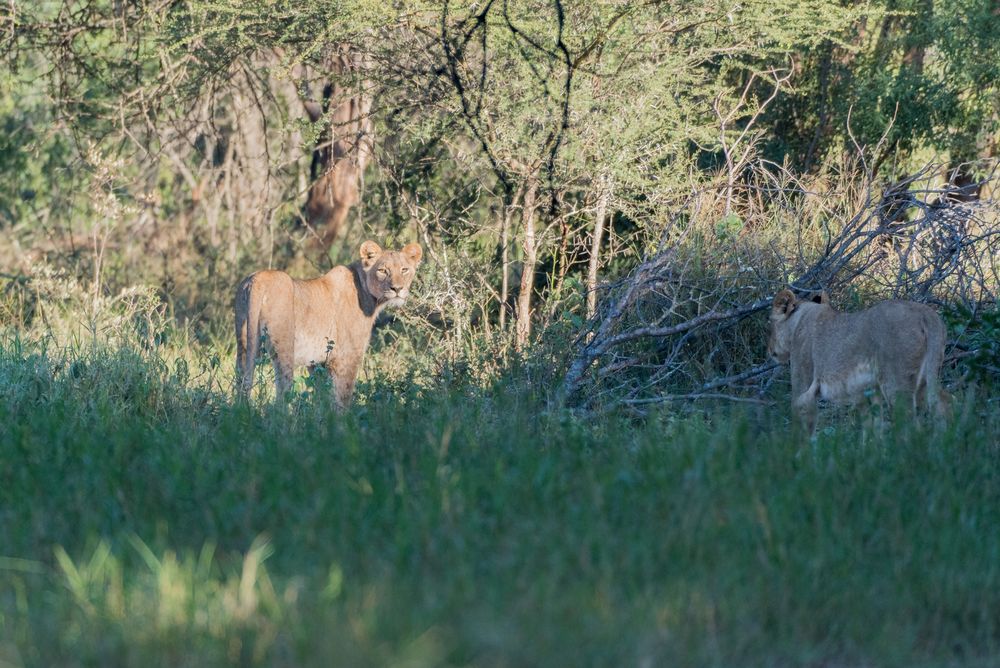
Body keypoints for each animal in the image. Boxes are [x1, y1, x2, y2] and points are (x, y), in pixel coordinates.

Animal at [235, 241, 422, 408]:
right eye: (382, 270)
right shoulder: (347, 358)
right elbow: (342, 399)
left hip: (243, 343)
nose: (397, 289)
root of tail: (258, 279)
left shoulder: (318, 363)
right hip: (284, 348)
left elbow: (322, 398)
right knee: (281, 397)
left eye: (404, 269)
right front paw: (343, 424)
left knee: (241, 381)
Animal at [768, 288, 948, 436]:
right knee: (944, 402)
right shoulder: (867, 393)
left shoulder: (803, 391)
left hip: (896, 382)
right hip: (927, 377)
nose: (769, 349)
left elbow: (802, 431)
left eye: (771, 323)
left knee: (910, 424)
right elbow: (872, 428)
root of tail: (925, 313)